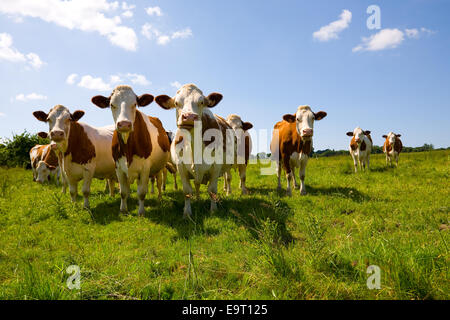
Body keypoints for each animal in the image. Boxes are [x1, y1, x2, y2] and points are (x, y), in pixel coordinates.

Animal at [91, 85, 171, 216]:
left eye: (134, 104)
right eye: (112, 104)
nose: (124, 124)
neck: (128, 149)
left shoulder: (145, 168)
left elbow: (142, 192)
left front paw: (141, 212)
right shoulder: (118, 167)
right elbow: (123, 191)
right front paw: (123, 210)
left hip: (160, 167)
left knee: (159, 182)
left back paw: (159, 198)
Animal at [154, 82, 232, 218]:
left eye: (201, 102)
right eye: (176, 103)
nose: (189, 116)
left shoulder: (216, 166)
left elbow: (212, 190)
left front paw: (213, 210)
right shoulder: (180, 166)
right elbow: (187, 191)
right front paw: (187, 212)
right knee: (196, 184)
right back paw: (197, 198)